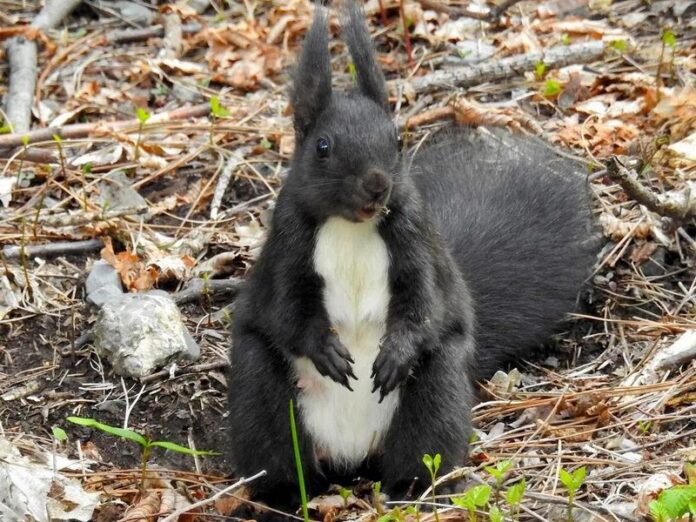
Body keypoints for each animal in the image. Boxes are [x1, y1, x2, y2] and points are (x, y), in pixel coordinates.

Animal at [227, 0, 595, 508]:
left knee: (420, 449)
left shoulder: (418, 244)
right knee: (279, 452)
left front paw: (396, 354)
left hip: (436, 393)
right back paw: (284, 498)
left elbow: (425, 305)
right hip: (261, 395)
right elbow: (288, 312)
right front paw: (326, 349)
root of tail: (351, 459)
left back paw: (411, 488)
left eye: (398, 140)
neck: (351, 228)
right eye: (322, 147)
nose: (377, 184)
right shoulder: (287, 247)